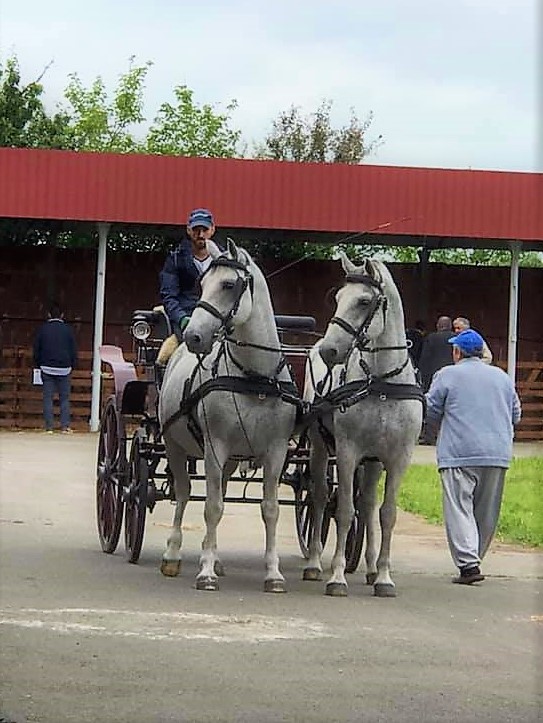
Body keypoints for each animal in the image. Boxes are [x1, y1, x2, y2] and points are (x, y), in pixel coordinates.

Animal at [158, 240, 298, 592]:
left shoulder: (275, 451)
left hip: (230, 459)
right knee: (184, 494)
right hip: (174, 445)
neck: (254, 378)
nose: (194, 336)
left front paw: (273, 573)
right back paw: (173, 555)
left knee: (215, 489)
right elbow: (212, 507)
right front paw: (205, 572)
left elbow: (271, 510)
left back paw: (217, 558)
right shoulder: (215, 446)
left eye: (229, 284)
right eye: (202, 283)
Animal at [302, 255, 424, 600]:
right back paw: (314, 562)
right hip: (319, 448)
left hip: (372, 462)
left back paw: (369, 568)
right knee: (319, 497)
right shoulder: (347, 452)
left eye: (364, 301)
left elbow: (386, 514)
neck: (381, 384)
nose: (329, 350)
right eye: (339, 299)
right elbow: (344, 510)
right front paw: (337, 576)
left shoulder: (397, 458)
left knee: (368, 505)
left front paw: (383, 576)